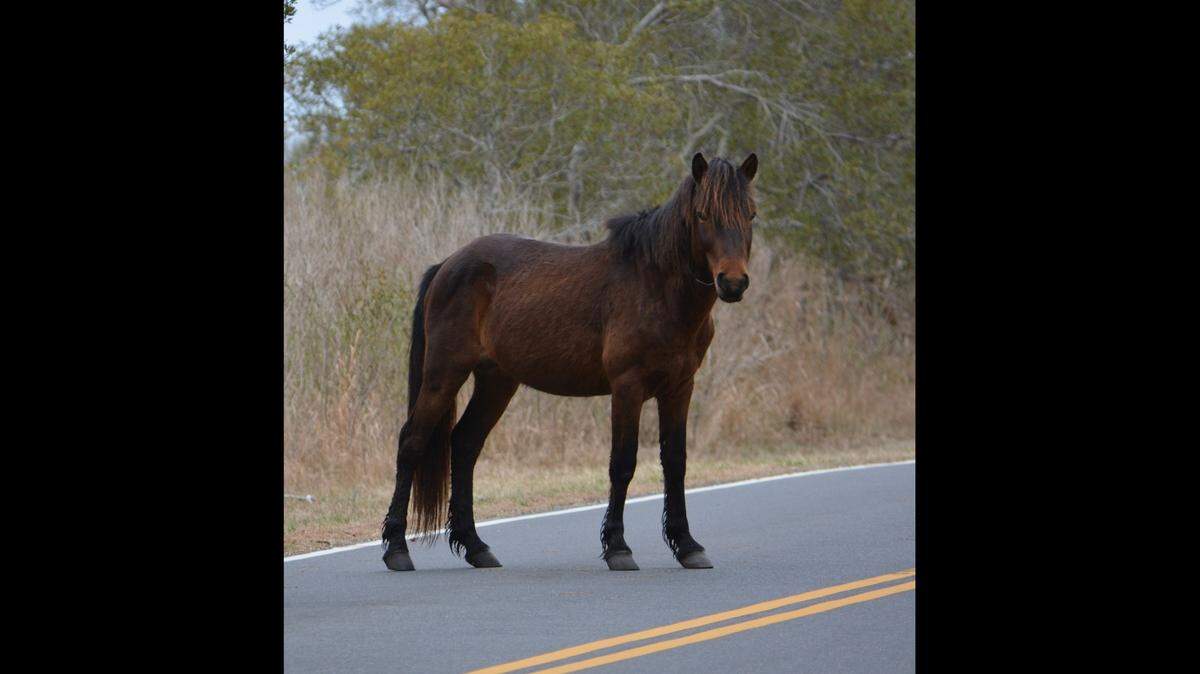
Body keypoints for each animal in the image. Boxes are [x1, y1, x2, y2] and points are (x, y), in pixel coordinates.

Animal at [381, 152, 758, 572]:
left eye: (751, 214)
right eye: (704, 214)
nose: (733, 283)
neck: (655, 286)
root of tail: (448, 264)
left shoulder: (679, 387)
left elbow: (675, 463)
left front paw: (688, 545)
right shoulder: (627, 387)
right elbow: (622, 463)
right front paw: (618, 548)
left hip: (496, 382)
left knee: (464, 444)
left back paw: (476, 547)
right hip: (444, 374)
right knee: (412, 443)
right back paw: (397, 549)